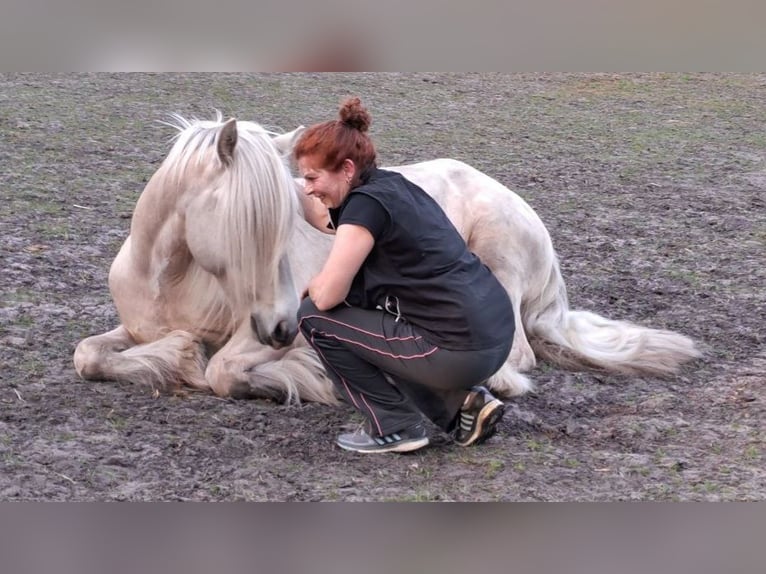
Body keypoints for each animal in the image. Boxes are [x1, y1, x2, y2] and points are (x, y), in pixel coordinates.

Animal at [73, 115, 704, 404]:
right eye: (250, 227)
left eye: (283, 228)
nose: (282, 327)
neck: (169, 279)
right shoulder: (137, 326)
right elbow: (88, 356)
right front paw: (173, 354)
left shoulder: (262, 330)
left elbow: (223, 372)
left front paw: (297, 374)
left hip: (496, 257)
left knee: (519, 352)